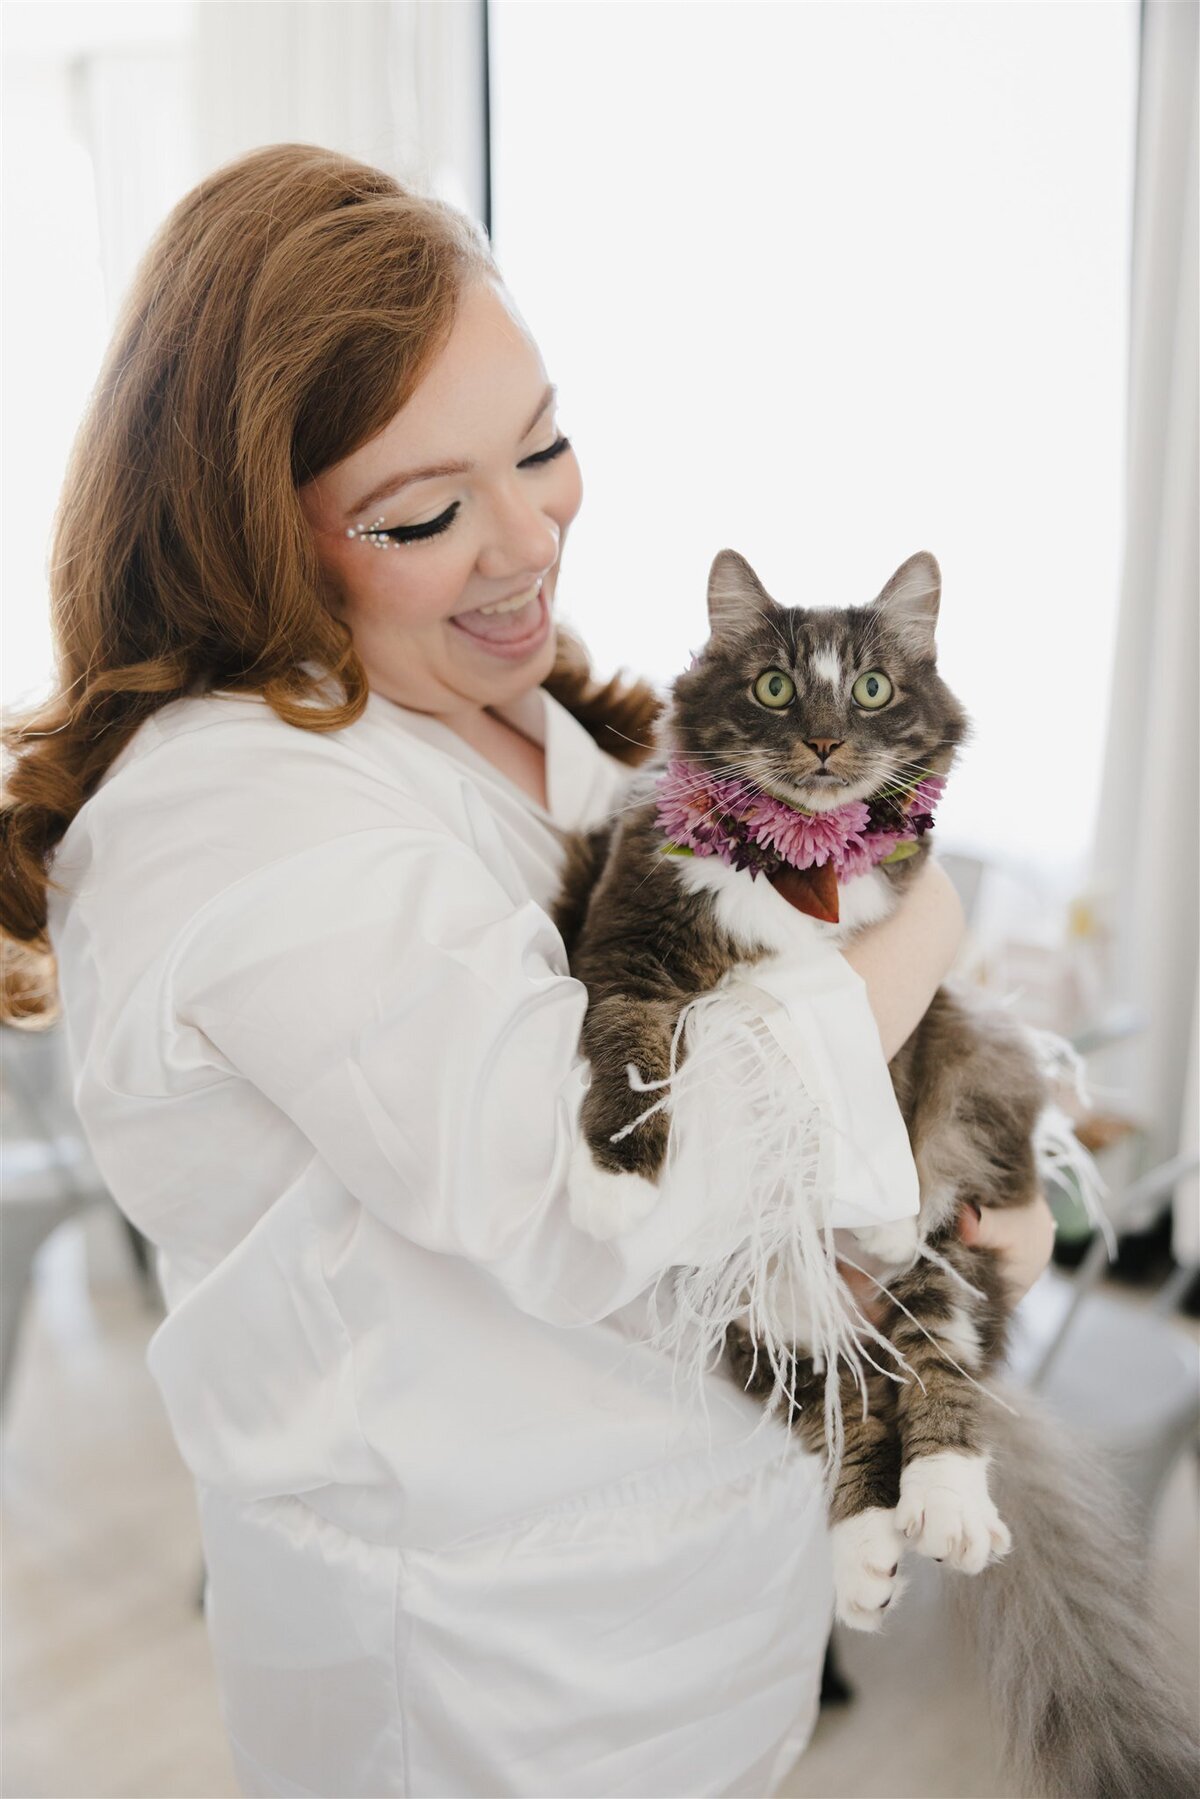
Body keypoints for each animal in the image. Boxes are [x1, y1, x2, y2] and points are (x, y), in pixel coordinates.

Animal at [557, 546, 1200, 1799]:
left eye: (866, 689)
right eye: (771, 687)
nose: (819, 743)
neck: (795, 869)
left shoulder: (899, 1039)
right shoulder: (629, 954)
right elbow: (635, 1052)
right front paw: (618, 1172)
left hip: (952, 1209)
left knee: (932, 1372)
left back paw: (948, 1507)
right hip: (766, 1302)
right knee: (846, 1406)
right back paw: (864, 1555)